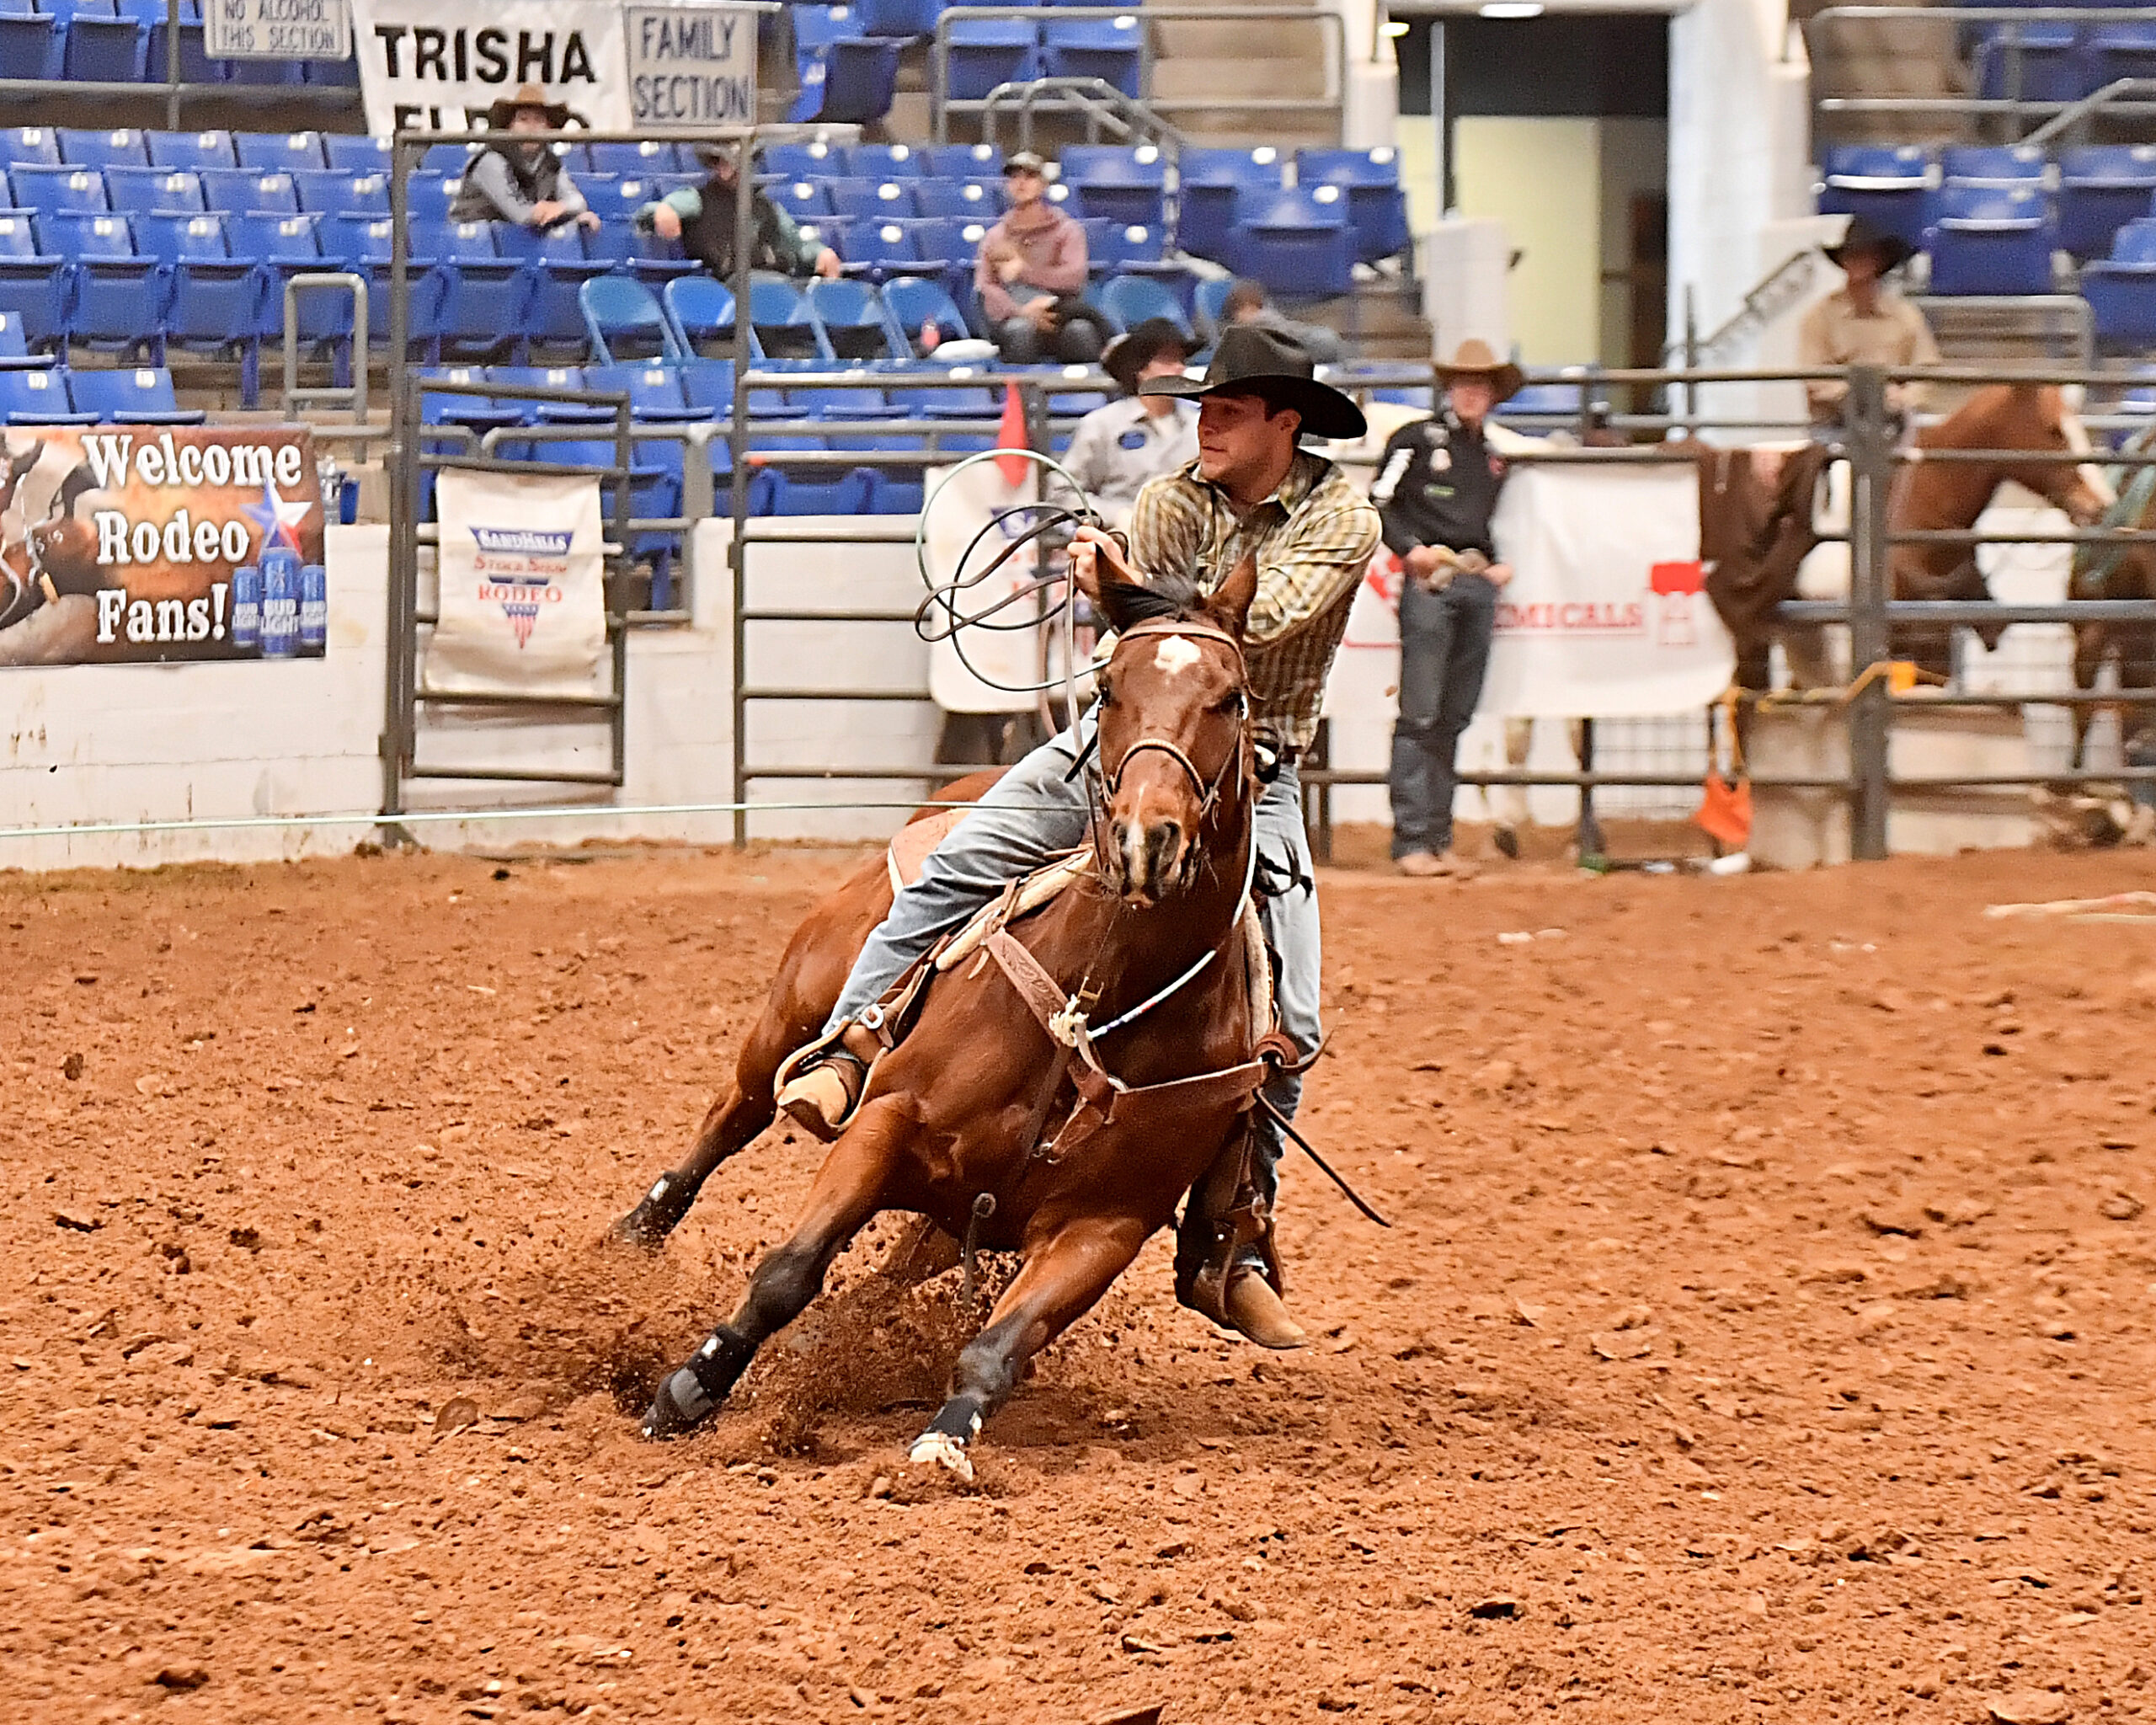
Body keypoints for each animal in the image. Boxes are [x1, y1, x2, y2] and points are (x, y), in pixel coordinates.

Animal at [616, 560, 1267, 1475]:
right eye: (1105, 688)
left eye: (1231, 698)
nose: (1147, 839)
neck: (1095, 1011)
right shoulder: (888, 1120)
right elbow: (787, 1272)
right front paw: (685, 1391)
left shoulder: (1106, 1226)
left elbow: (1000, 1345)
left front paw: (945, 1437)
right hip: (789, 1016)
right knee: (731, 1115)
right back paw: (636, 1234)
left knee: (893, 1273)